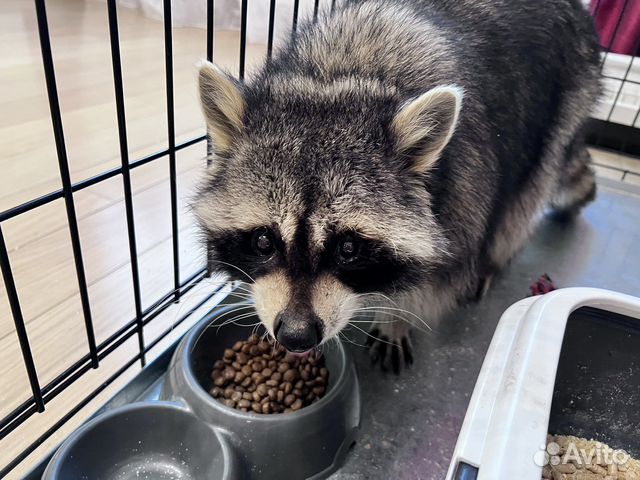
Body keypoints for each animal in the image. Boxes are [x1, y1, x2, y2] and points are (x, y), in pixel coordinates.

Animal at [194, 0, 600, 372]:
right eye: (263, 241)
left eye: (348, 248)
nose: (296, 336)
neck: (341, 75)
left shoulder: (464, 187)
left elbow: (437, 275)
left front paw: (397, 317)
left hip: (566, 100)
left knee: (525, 195)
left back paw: (494, 257)